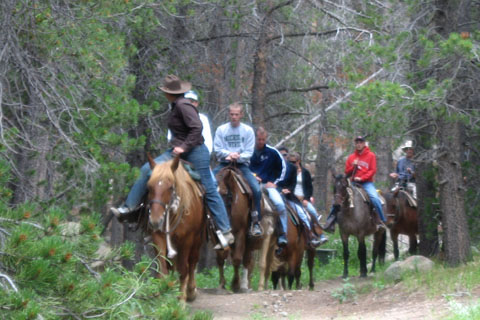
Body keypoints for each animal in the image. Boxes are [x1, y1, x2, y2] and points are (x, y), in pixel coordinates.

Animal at [146, 156, 206, 302]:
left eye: (170, 187)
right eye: (149, 186)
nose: (155, 220)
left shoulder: (187, 239)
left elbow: (183, 269)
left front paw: (181, 300)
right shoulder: (158, 236)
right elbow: (163, 268)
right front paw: (161, 294)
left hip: (197, 239)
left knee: (192, 261)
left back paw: (190, 291)